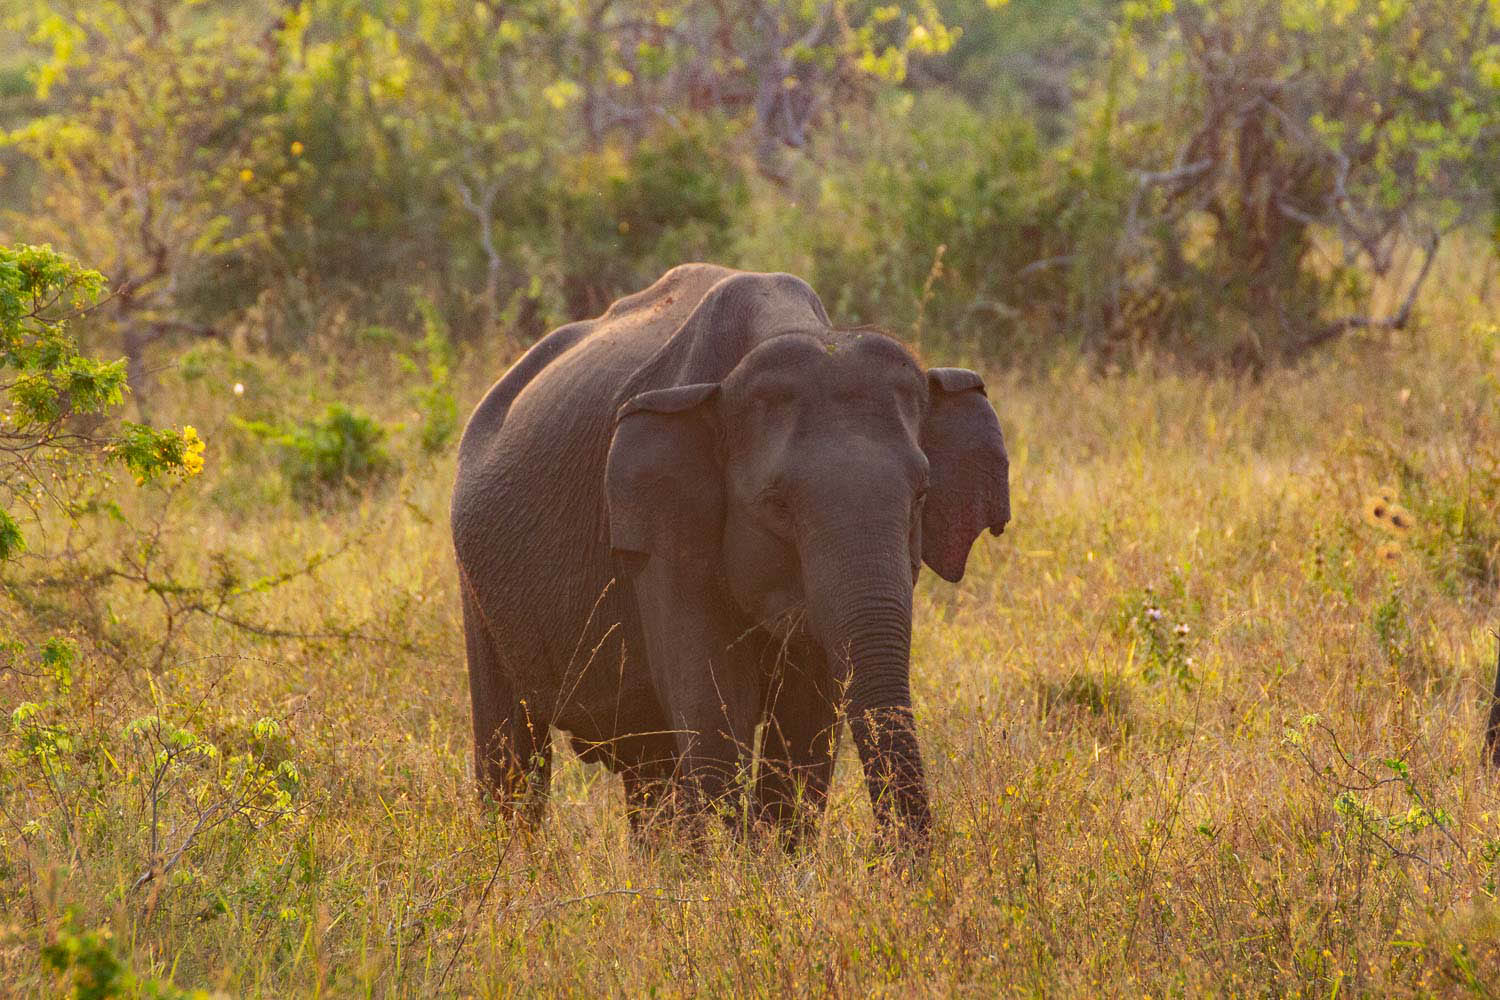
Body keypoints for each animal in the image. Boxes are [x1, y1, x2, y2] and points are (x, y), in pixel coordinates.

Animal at [447, 263, 1008, 851]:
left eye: (921, 495)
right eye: (777, 504)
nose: (892, 859)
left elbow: (806, 721)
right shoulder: (666, 529)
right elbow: (716, 708)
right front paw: (736, 868)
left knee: (648, 765)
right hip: (474, 581)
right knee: (513, 757)